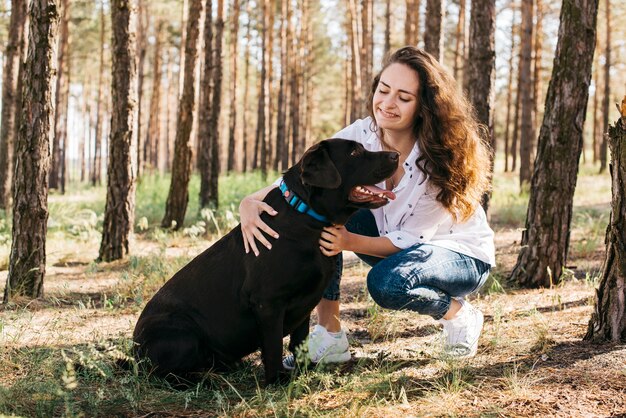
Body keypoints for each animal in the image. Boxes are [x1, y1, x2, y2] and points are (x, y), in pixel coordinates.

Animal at [133, 138, 398, 386]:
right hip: (183, 333)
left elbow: (299, 342)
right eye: (354, 152)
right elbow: (273, 345)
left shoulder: (304, 304)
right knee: (168, 375)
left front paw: (305, 371)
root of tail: (135, 353)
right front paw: (277, 379)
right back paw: (207, 379)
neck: (306, 216)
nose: (395, 155)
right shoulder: (268, 303)